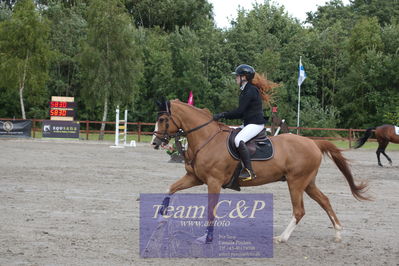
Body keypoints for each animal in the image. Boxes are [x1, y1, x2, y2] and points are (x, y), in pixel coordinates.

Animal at [153, 99, 372, 243]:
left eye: (163, 119)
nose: (155, 142)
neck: (207, 138)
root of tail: (313, 143)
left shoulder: (213, 182)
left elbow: (210, 209)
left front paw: (207, 237)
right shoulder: (195, 177)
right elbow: (171, 188)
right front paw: (162, 214)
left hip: (296, 183)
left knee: (299, 210)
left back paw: (282, 237)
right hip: (308, 183)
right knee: (324, 201)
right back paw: (337, 232)